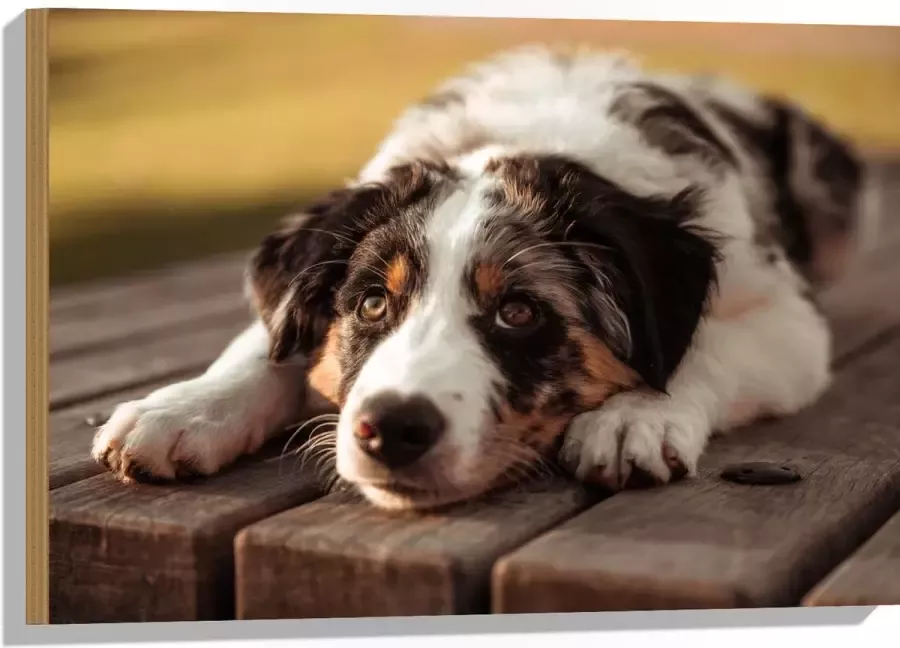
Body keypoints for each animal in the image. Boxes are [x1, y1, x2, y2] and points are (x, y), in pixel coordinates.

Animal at [93, 45, 872, 512]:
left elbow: (704, 347)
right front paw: (182, 410)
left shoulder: (787, 318)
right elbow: (264, 341)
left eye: (519, 312)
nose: (391, 430)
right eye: (371, 304)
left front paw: (634, 418)